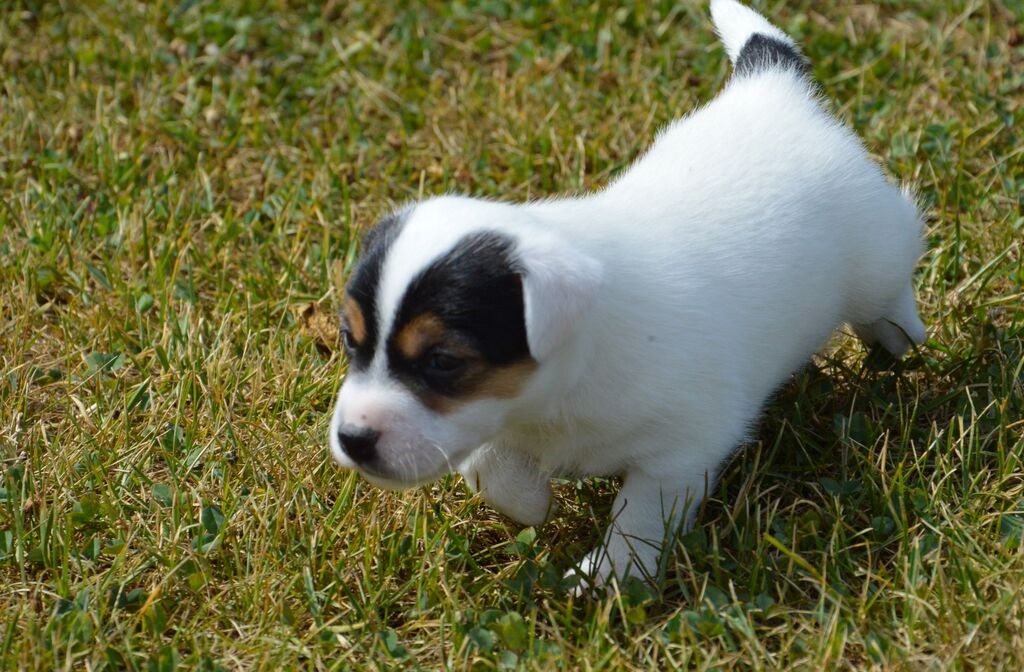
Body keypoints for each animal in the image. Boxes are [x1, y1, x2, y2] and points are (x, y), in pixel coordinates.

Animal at [327, 0, 929, 590]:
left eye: (443, 361)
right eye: (350, 340)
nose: (352, 439)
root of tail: (772, 88)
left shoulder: (682, 449)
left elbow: (640, 518)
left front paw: (607, 577)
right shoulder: (499, 421)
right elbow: (487, 465)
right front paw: (533, 503)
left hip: (875, 256)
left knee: (892, 278)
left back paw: (900, 339)